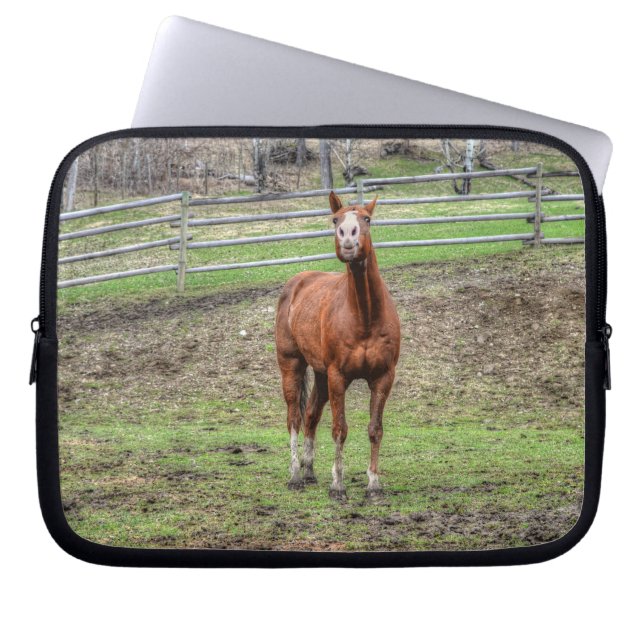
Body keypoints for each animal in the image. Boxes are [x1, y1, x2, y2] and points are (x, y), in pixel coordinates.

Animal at [275, 191, 401, 499]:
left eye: (367, 219)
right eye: (335, 220)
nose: (347, 236)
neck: (364, 316)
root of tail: (297, 282)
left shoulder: (383, 377)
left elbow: (375, 429)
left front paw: (374, 484)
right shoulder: (338, 377)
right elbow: (339, 429)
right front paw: (338, 485)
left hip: (320, 374)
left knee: (311, 415)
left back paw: (309, 471)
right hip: (292, 365)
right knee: (294, 418)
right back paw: (295, 476)